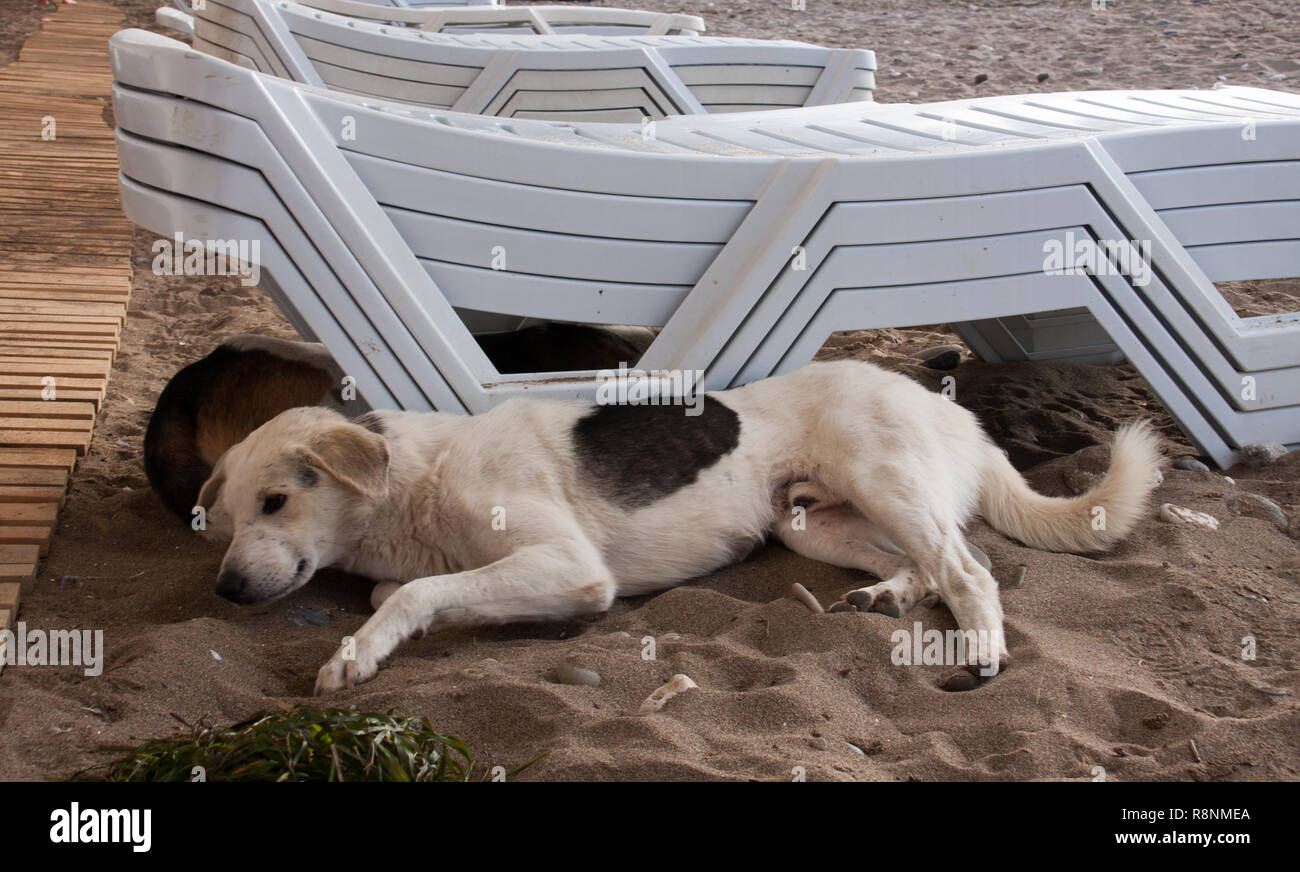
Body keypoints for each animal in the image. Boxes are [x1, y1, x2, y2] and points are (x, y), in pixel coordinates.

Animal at [189, 361, 1159, 696]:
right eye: (226, 517)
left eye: (275, 503)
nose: (226, 590)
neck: (413, 483)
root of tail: (953, 409)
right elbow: (406, 590)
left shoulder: (574, 568)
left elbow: (414, 593)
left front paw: (354, 655)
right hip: (811, 526)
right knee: (926, 564)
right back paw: (885, 596)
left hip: (880, 478)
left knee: (969, 570)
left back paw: (983, 652)